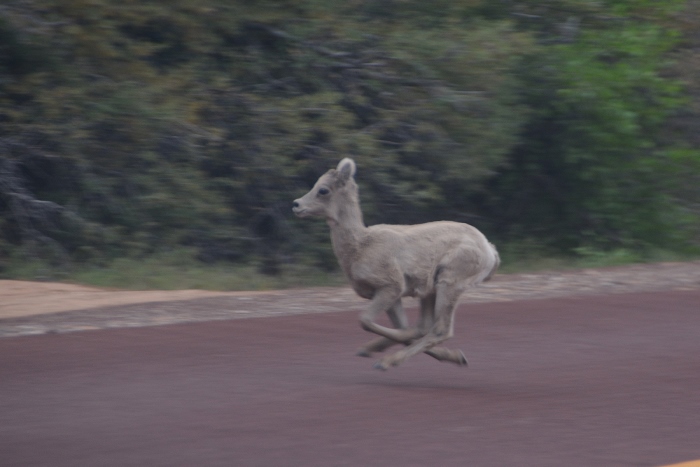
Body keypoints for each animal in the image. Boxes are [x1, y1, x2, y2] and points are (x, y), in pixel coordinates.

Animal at [292, 159, 500, 372]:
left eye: (323, 190)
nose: (296, 205)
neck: (360, 246)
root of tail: (489, 251)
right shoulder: (390, 296)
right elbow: (399, 326)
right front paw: (366, 350)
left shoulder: (390, 287)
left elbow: (367, 321)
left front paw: (376, 355)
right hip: (429, 291)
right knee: (425, 327)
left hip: (449, 283)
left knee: (439, 330)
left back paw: (387, 361)